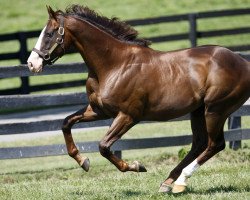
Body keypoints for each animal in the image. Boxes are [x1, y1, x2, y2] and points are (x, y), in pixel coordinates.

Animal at [27, 5, 250, 194]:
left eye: (49, 34)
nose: (32, 63)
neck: (114, 64)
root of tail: (243, 62)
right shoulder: (99, 110)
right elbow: (66, 123)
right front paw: (84, 161)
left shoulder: (128, 116)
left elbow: (104, 146)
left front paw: (135, 166)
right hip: (198, 111)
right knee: (199, 143)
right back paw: (167, 183)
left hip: (215, 110)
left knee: (215, 144)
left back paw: (180, 182)